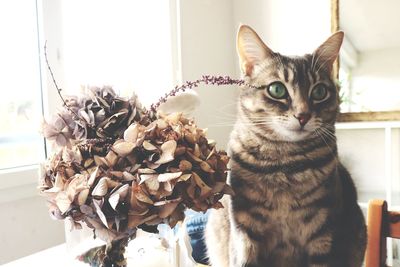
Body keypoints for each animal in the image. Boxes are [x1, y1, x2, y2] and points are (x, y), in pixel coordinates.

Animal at [205, 25, 368, 267]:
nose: (303, 115)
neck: (284, 163)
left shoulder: (323, 232)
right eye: (277, 90)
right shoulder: (244, 230)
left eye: (319, 92)